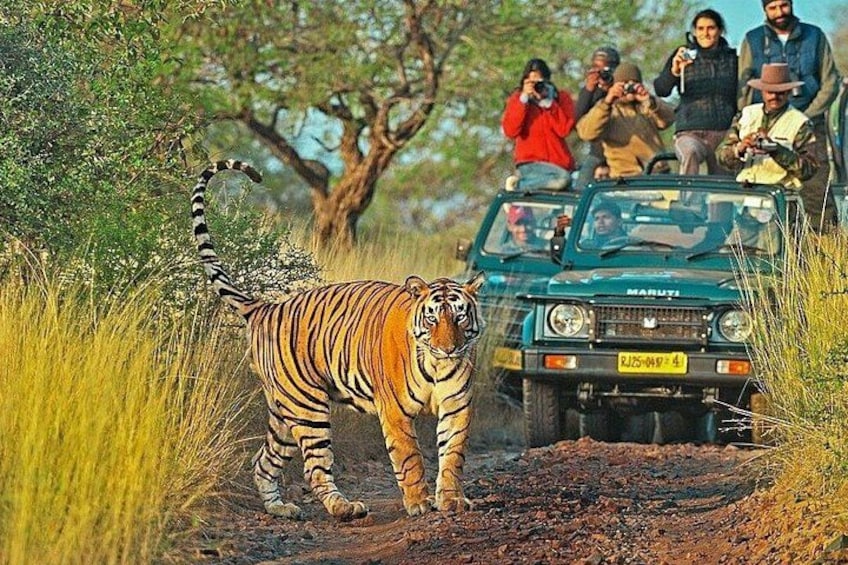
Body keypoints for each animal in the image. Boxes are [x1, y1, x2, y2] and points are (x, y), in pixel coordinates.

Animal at [191, 160, 485, 520]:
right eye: (432, 318)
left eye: (460, 317)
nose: (449, 348)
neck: (435, 364)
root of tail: (266, 307)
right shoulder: (396, 412)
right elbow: (410, 458)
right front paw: (418, 503)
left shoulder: (457, 406)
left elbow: (453, 456)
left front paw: (452, 500)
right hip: (307, 406)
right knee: (315, 468)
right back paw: (344, 507)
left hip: (283, 413)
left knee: (263, 461)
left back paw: (281, 508)